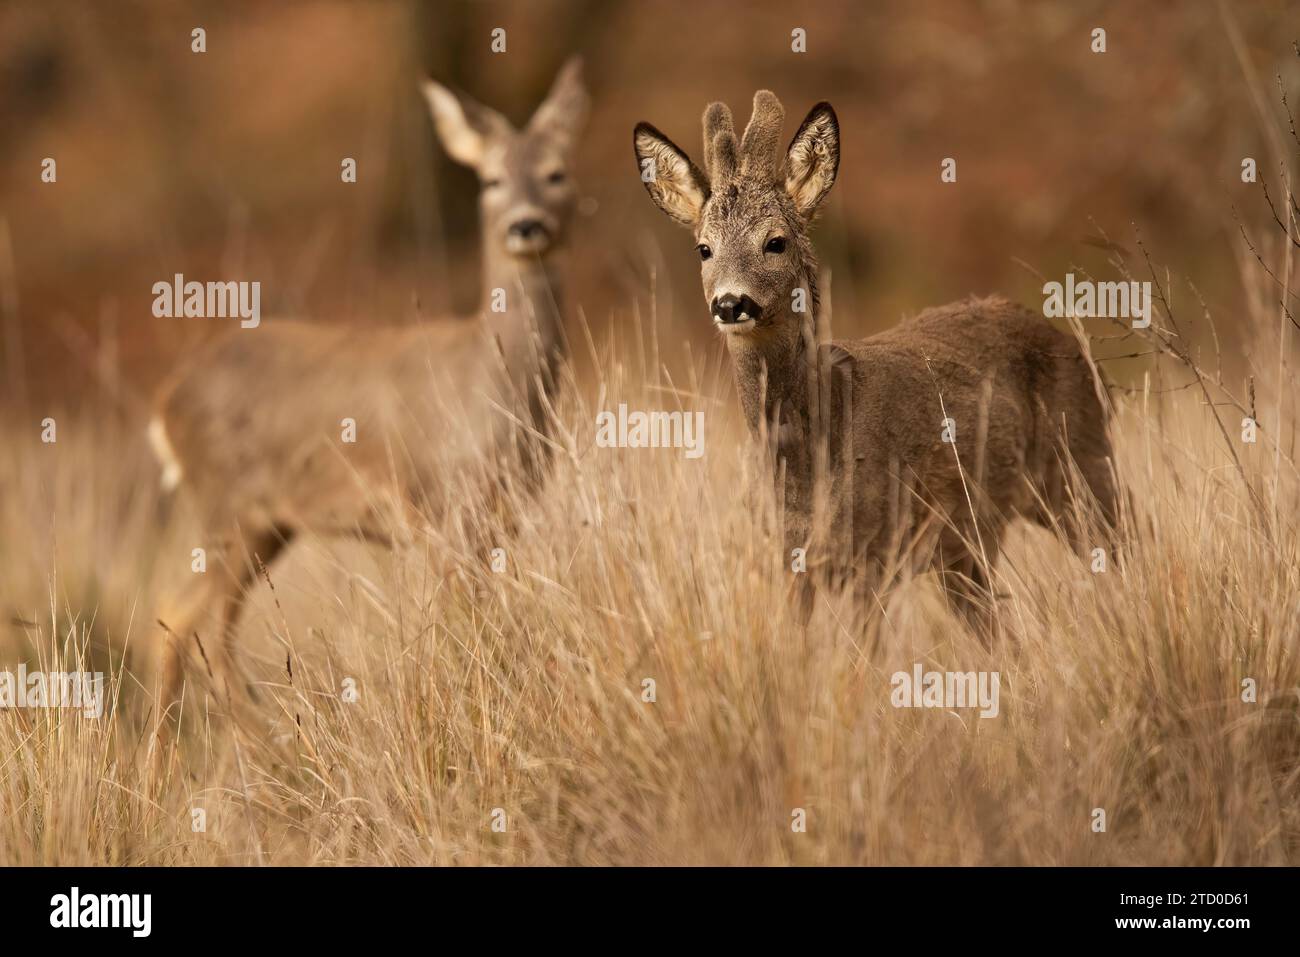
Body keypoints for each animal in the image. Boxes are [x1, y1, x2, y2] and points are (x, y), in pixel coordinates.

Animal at [148, 55, 590, 738]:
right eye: (490, 179)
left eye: (556, 173)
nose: (526, 224)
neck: (493, 390)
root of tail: (165, 402)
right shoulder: (440, 509)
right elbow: (466, 630)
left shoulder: (501, 516)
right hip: (228, 505)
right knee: (196, 629)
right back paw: (272, 748)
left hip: (267, 522)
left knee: (176, 623)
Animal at [631, 87, 1118, 629]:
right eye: (703, 249)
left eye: (775, 241)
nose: (731, 303)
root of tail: (1077, 349)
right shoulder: (789, 562)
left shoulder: (874, 552)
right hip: (966, 549)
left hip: (1085, 467)